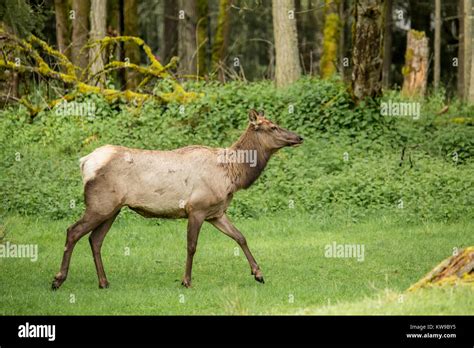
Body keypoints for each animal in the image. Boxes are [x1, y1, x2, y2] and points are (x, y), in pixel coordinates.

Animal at [51, 110, 304, 290]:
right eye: (272, 126)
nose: (299, 136)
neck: (231, 175)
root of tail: (84, 162)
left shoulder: (216, 212)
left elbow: (240, 237)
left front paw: (258, 273)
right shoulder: (197, 208)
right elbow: (191, 246)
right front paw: (186, 281)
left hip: (112, 208)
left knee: (95, 239)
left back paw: (103, 282)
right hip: (100, 204)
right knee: (73, 231)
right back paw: (58, 279)